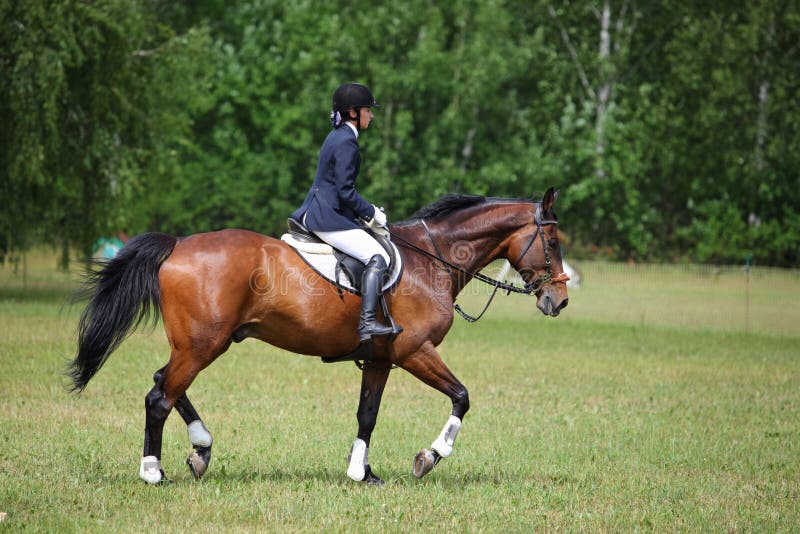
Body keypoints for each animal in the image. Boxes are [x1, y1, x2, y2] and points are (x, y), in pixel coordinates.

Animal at [67, 187, 568, 486]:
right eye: (554, 242)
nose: (559, 301)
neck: (433, 259)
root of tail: (177, 245)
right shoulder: (414, 352)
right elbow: (462, 396)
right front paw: (429, 456)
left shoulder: (381, 359)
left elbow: (368, 415)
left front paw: (362, 472)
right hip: (203, 344)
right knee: (160, 396)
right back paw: (154, 472)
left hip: (200, 343)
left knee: (164, 383)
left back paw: (201, 449)